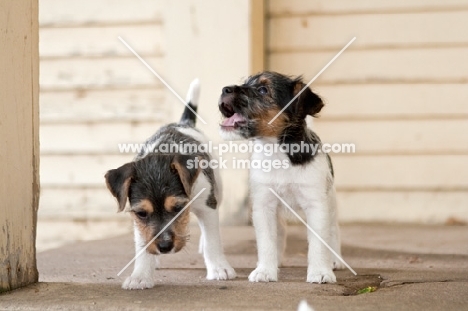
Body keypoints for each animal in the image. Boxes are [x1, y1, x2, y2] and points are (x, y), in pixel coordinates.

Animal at [107, 80, 236, 290]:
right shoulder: (139, 221)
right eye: (141, 213)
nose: (164, 247)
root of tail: (183, 123)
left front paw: (219, 268)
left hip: (218, 190)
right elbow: (142, 244)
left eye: (177, 208)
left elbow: (212, 239)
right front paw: (140, 275)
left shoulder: (208, 206)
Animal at [218, 72, 344, 284]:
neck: (277, 154)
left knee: (334, 230)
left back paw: (336, 260)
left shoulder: (316, 205)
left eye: (263, 90)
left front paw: (320, 271)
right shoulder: (264, 206)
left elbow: (318, 242)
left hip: (331, 203)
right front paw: (265, 270)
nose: (224, 89)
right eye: (245, 83)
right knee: (281, 231)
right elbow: (267, 241)